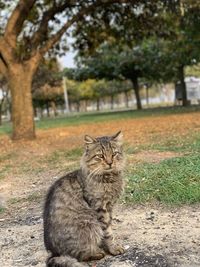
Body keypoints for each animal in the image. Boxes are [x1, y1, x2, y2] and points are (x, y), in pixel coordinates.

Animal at [43, 132, 125, 267]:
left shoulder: (109, 206)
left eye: (114, 154)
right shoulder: (100, 208)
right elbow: (108, 232)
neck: (109, 179)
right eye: (100, 156)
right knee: (79, 255)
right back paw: (97, 253)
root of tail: (53, 253)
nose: (109, 163)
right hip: (89, 224)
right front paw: (113, 248)